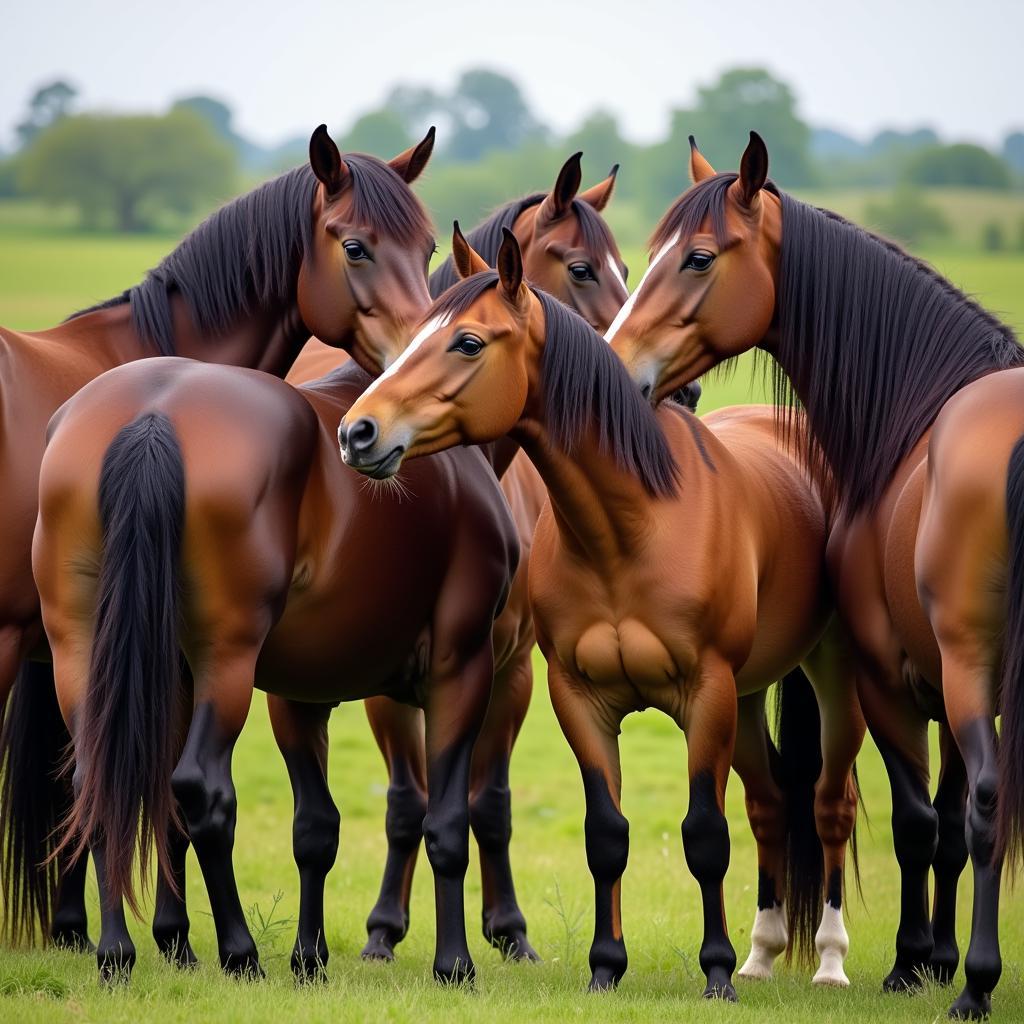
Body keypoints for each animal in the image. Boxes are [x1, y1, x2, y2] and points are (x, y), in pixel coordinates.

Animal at [0, 121, 436, 958]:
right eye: (355, 246)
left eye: (430, 247)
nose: (408, 369)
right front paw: (177, 935)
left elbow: (94, 782)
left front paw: (126, 933)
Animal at [282, 149, 630, 958]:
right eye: (581, 268)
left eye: (627, 266)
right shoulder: (389, 685)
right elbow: (408, 803)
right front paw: (384, 929)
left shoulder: (510, 672)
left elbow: (489, 803)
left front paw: (509, 930)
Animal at [337, 226, 864, 999]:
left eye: (467, 342)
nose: (358, 433)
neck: (633, 527)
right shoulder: (580, 699)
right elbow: (607, 834)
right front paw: (607, 966)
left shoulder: (705, 695)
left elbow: (705, 836)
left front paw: (714, 974)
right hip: (747, 695)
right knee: (770, 803)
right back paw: (762, 954)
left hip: (827, 681)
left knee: (829, 805)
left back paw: (827, 960)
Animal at [602, 132, 1024, 1019]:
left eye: (698, 257)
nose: (615, 369)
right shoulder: (938, 689)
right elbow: (940, 826)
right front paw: (934, 955)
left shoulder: (892, 678)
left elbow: (921, 822)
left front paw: (915, 964)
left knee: (983, 806)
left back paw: (976, 986)